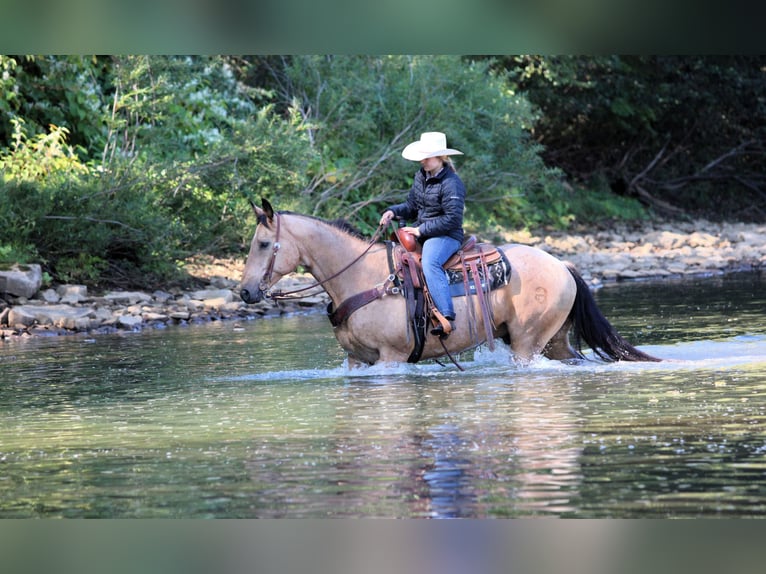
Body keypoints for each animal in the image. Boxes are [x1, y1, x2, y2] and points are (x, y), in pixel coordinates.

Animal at [239, 198, 660, 368]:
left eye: (263, 244)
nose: (245, 291)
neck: (361, 277)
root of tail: (562, 264)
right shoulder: (357, 361)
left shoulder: (390, 359)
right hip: (555, 340)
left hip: (527, 343)